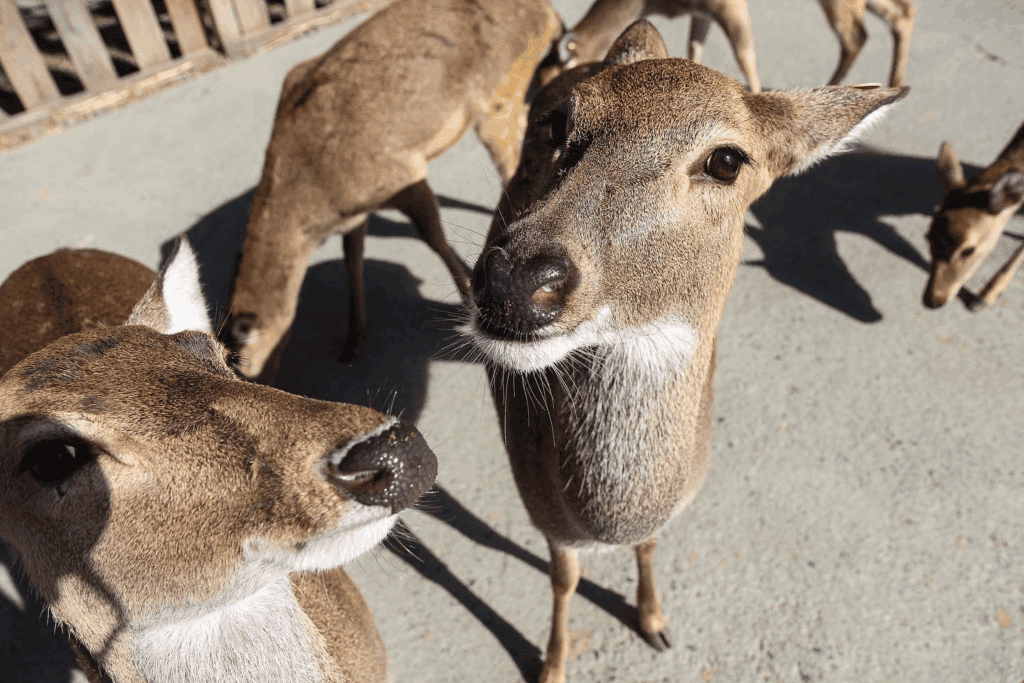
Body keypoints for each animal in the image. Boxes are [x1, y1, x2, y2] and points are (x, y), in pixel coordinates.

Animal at [222, 0, 564, 382]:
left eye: (238, 364)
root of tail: (548, 13)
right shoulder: (355, 211)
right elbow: (352, 259)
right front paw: (354, 340)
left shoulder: (405, 174)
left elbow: (434, 238)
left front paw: (466, 301)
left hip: (498, 93)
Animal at [465, 20, 907, 683]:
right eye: (554, 124)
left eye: (727, 159)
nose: (516, 279)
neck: (609, 514)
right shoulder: (538, 504)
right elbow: (564, 579)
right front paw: (552, 666)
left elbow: (650, 545)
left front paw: (654, 621)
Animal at [550, 0, 915, 94]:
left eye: (548, 75)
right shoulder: (701, 11)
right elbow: (694, 45)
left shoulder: (727, 3)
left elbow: (745, 53)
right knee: (901, 12)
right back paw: (895, 82)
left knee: (855, 35)